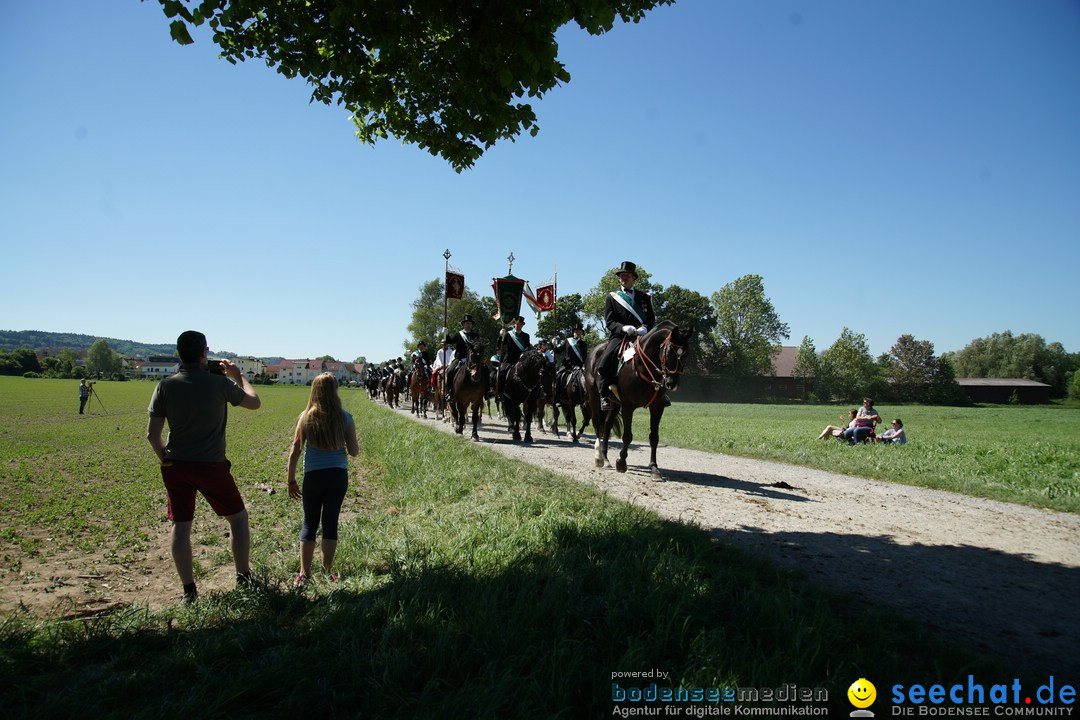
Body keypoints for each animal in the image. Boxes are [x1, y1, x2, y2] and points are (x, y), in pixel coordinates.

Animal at [587, 321, 695, 479]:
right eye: (669, 352)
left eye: (686, 353)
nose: (672, 383)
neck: (643, 367)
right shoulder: (628, 406)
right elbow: (627, 436)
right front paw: (621, 462)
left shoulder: (657, 407)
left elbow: (654, 437)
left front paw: (654, 468)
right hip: (594, 397)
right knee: (596, 423)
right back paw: (599, 457)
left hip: (615, 403)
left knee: (607, 424)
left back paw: (606, 458)